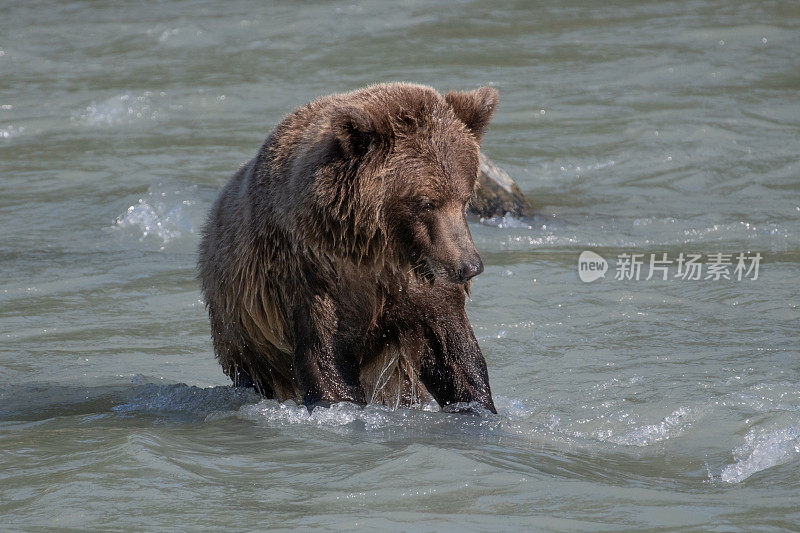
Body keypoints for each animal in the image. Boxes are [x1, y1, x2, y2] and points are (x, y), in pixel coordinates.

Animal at [198, 83, 496, 414]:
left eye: (465, 197)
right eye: (426, 202)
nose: (470, 266)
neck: (376, 247)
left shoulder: (420, 279)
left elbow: (451, 350)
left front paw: (476, 406)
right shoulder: (316, 272)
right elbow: (327, 357)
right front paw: (339, 401)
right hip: (241, 324)